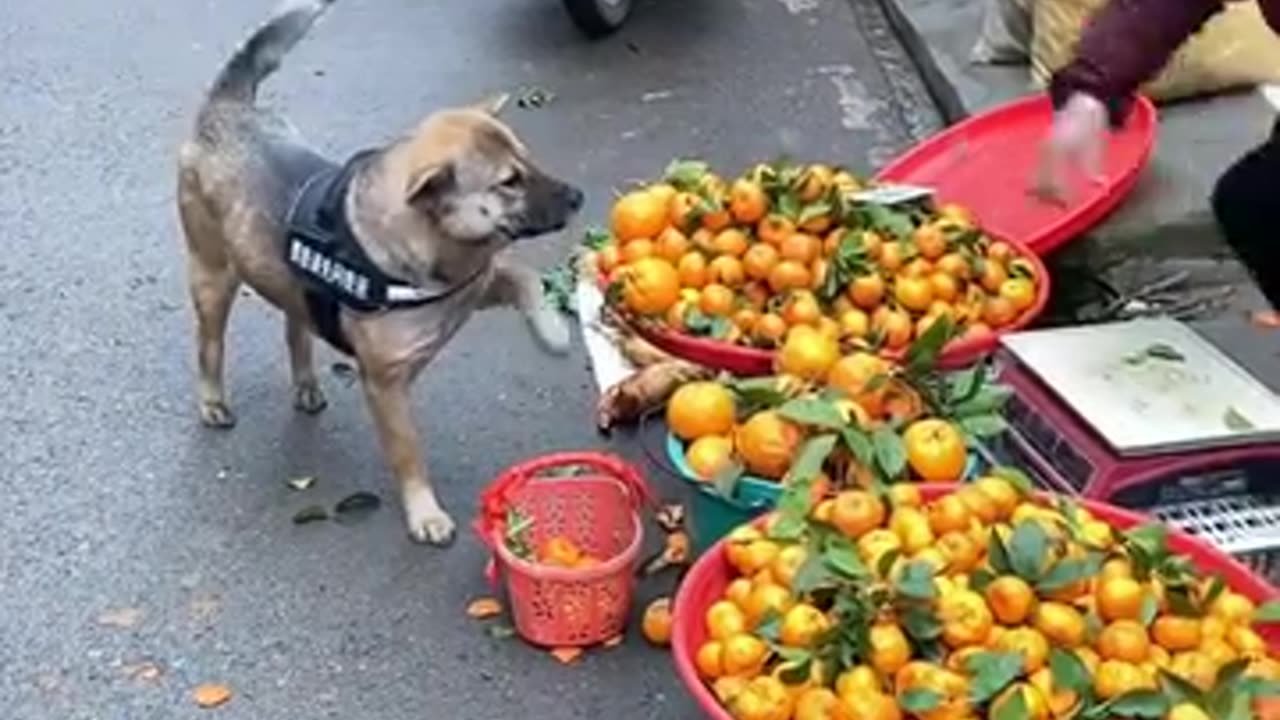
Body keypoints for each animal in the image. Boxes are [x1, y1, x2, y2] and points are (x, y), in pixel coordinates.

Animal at [176, 0, 586, 540]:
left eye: (528, 161)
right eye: (509, 182)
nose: (578, 197)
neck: (433, 242)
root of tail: (227, 106)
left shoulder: (477, 286)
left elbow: (525, 277)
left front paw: (551, 330)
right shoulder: (386, 387)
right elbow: (408, 454)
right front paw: (424, 512)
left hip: (286, 279)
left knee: (296, 327)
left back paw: (305, 384)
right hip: (213, 277)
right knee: (209, 345)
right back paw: (212, 401)